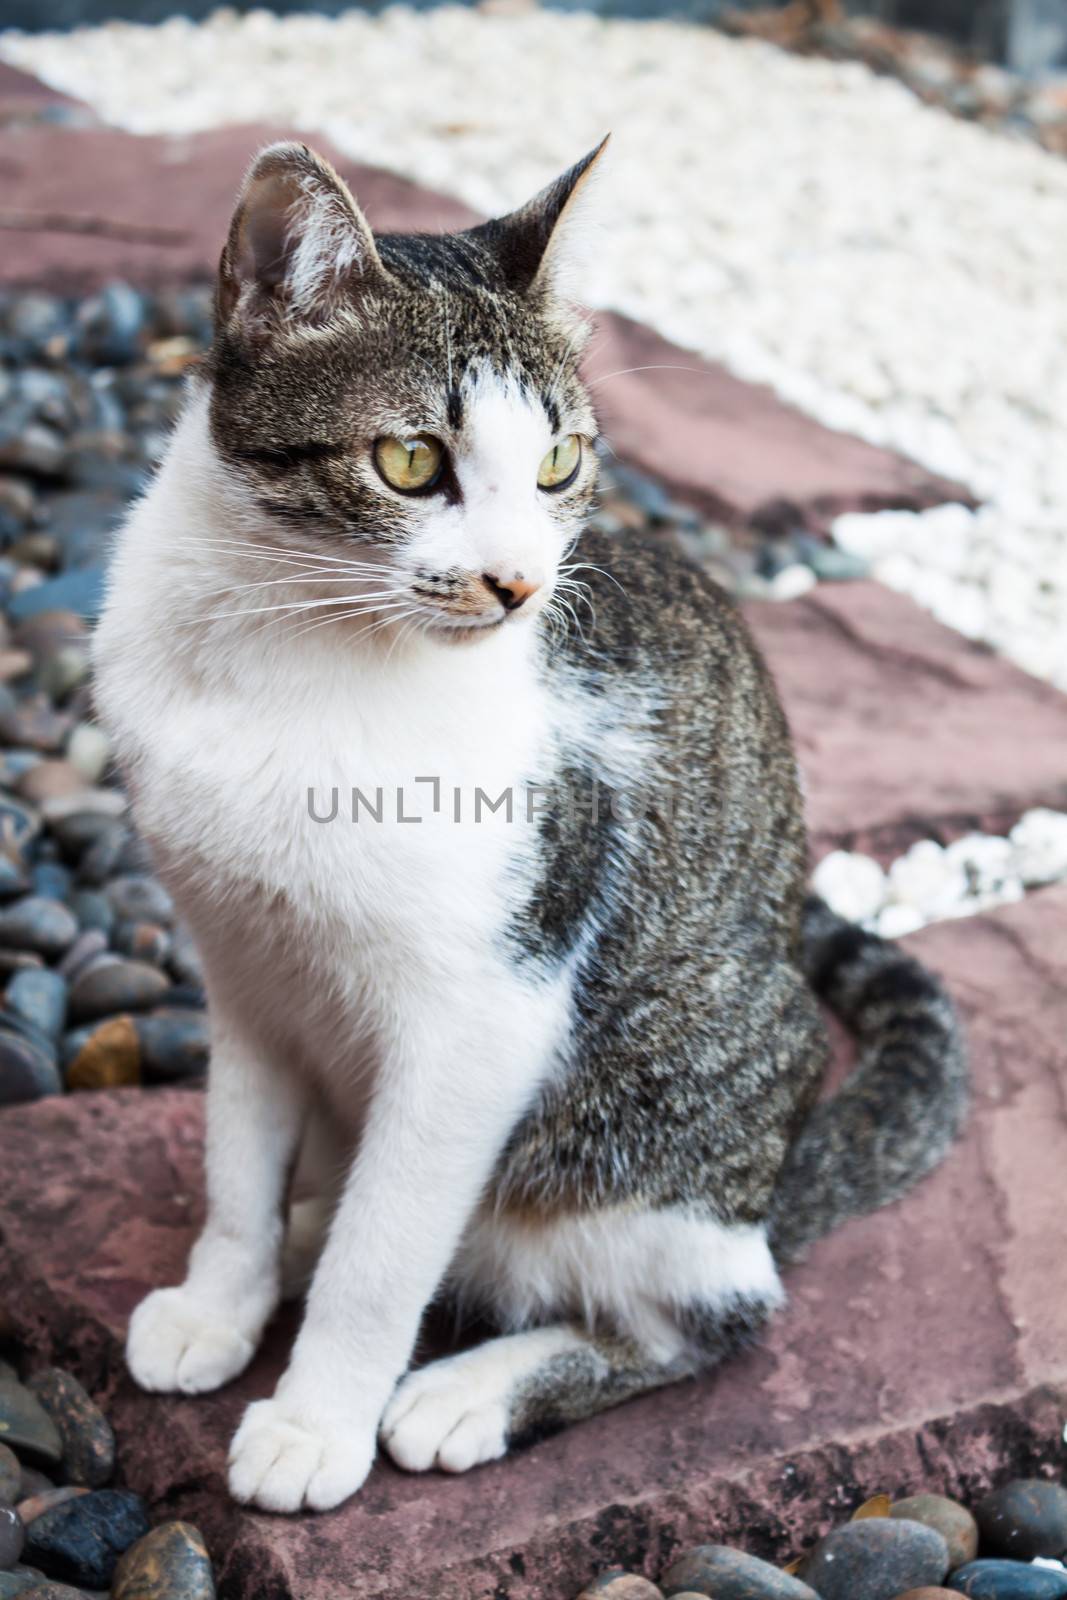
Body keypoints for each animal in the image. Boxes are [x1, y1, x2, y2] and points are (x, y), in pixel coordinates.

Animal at [93, 137, 966, 1510]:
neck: (289, 646)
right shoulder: (242, 965)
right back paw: (305, 1230)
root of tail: (771, 1189)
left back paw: (468, 1388)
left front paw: (316, 1422)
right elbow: (236, 1160)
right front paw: (220, 1297)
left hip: (655, 1135)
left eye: (558, 464)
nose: (514, 583)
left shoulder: (486, 1010)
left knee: (711, 1313)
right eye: (409, 461)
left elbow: (386, 1256)